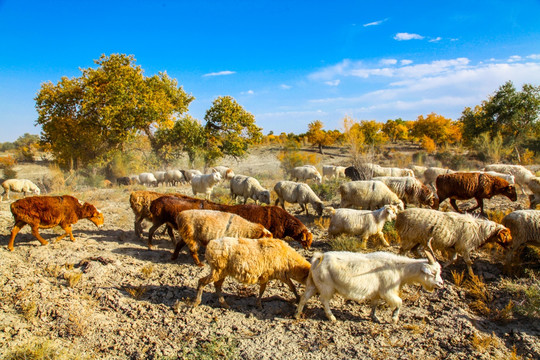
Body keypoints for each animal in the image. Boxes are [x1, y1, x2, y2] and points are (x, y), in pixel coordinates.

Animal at [296, 242, 442, 324]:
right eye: (433, 272)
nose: (441, 284)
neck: (399, 269)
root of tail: (319, 257)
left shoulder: (377, 292)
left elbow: (374, 304)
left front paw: (375, 318)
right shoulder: (387, 291)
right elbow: (399, 302)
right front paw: (394, 319)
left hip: (313, 284)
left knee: (304, 297)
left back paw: (297, 315)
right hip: (326, 286)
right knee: (324, 300)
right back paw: (332, 318)